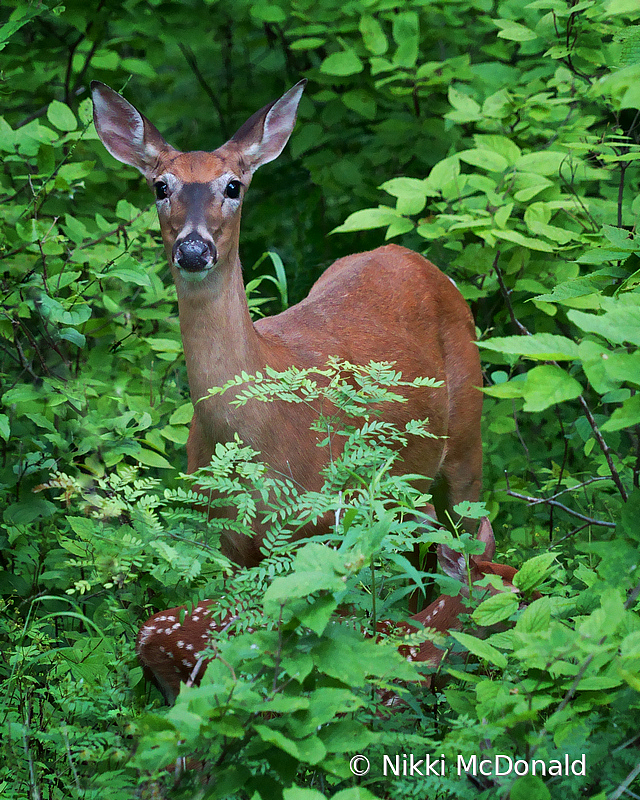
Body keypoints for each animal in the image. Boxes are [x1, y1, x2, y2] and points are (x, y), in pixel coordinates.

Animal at [89, 78, 480, 572]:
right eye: (160, 186)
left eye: (233, 185)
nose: (193, 249)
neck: (260, 432)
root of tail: (416, 260)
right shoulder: (226, 544)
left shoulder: (324, 524)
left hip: (467, 437)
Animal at [136, 520, 524, 708]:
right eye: (502, 587)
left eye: (516, 571)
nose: (530, 597)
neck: (423, 649)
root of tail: (144, 636)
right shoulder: (389, 702)